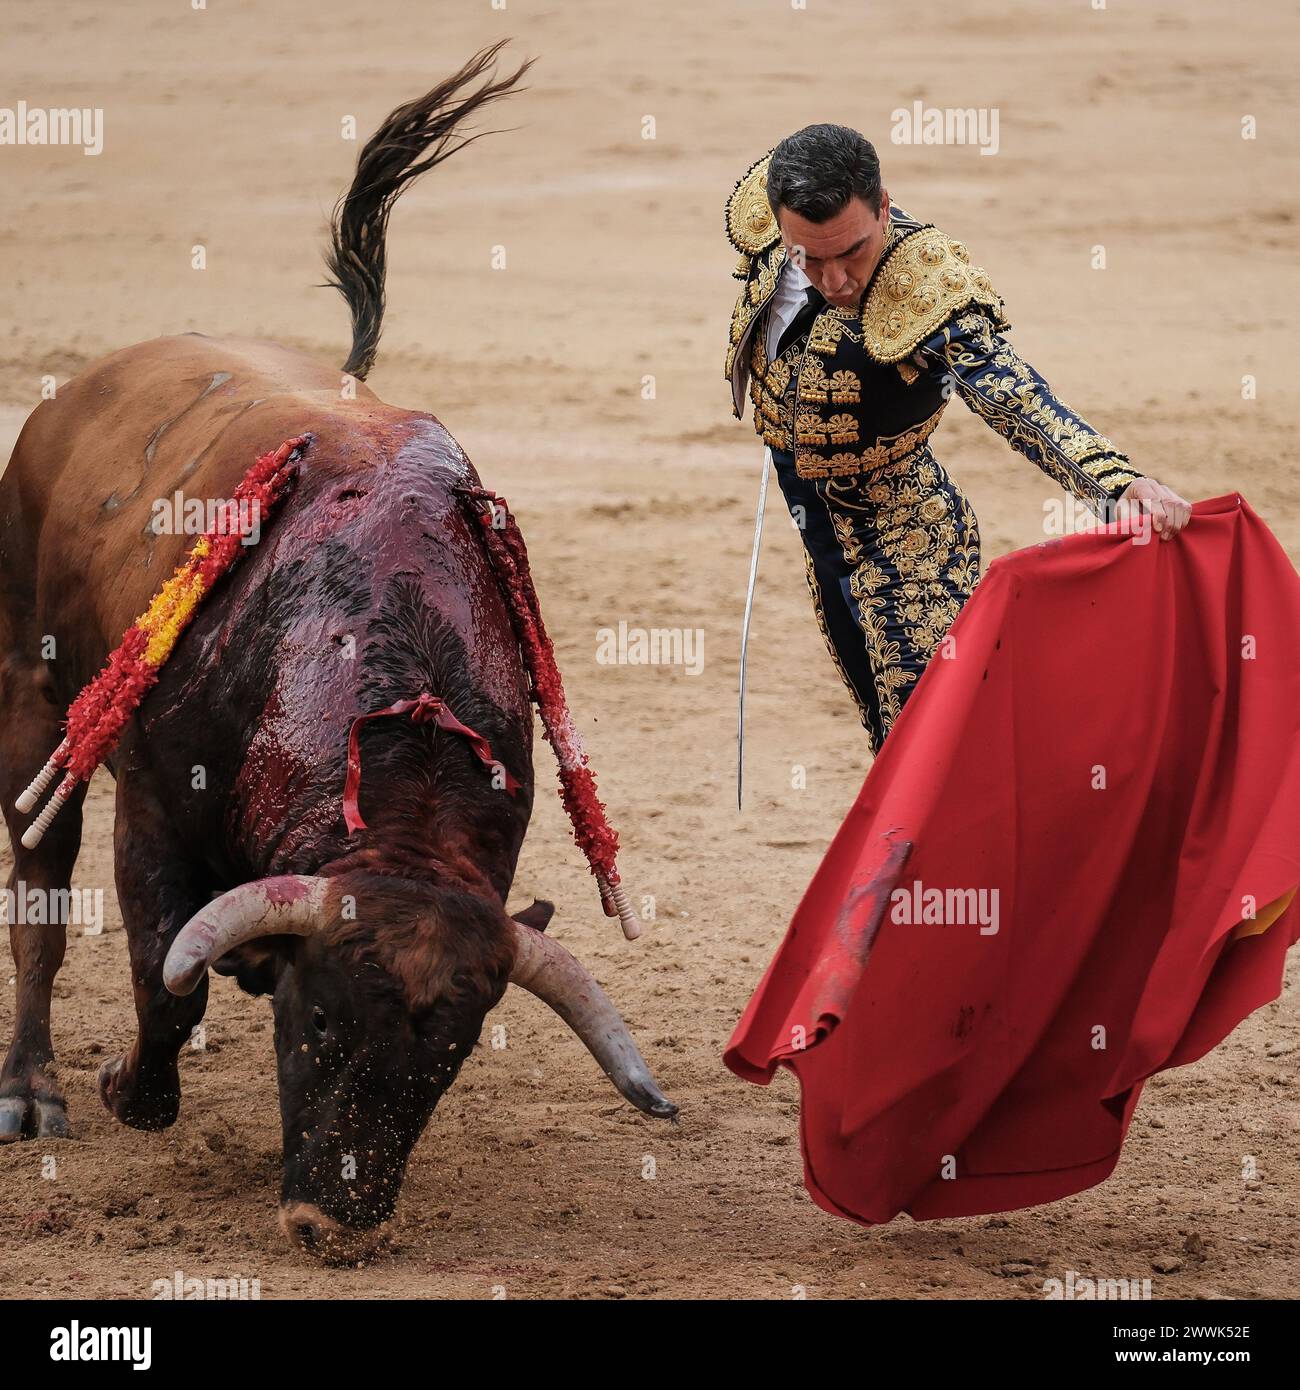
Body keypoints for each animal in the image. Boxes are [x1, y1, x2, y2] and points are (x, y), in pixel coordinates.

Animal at [2, 43, 681, 1262]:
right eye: (316, 1021)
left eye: (449, 1057)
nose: (335, 1224)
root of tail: (81, 390)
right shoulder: (153, 811)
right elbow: (166, 980)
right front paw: (130, 1087)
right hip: (31, 695)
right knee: (38, 886)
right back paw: (32, 1090)